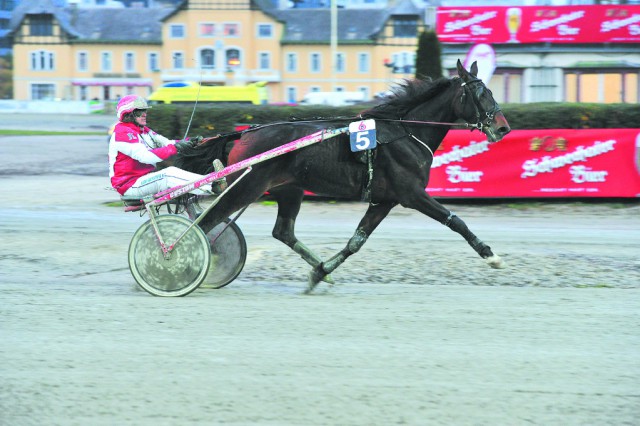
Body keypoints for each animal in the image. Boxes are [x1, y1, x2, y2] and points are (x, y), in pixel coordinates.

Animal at [174, 60, 510, 292]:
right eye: (481, 93)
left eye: (491, 90)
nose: (504, 127)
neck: (405, 133)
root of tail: (242, 134)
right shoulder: (412, 194)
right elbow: (456, 221)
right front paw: (490, 255)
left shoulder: (384, 201)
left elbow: (356, 241)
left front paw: (320, 273)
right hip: (246, 187)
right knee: (206, 223)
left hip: (288, 189)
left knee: (283, 232)